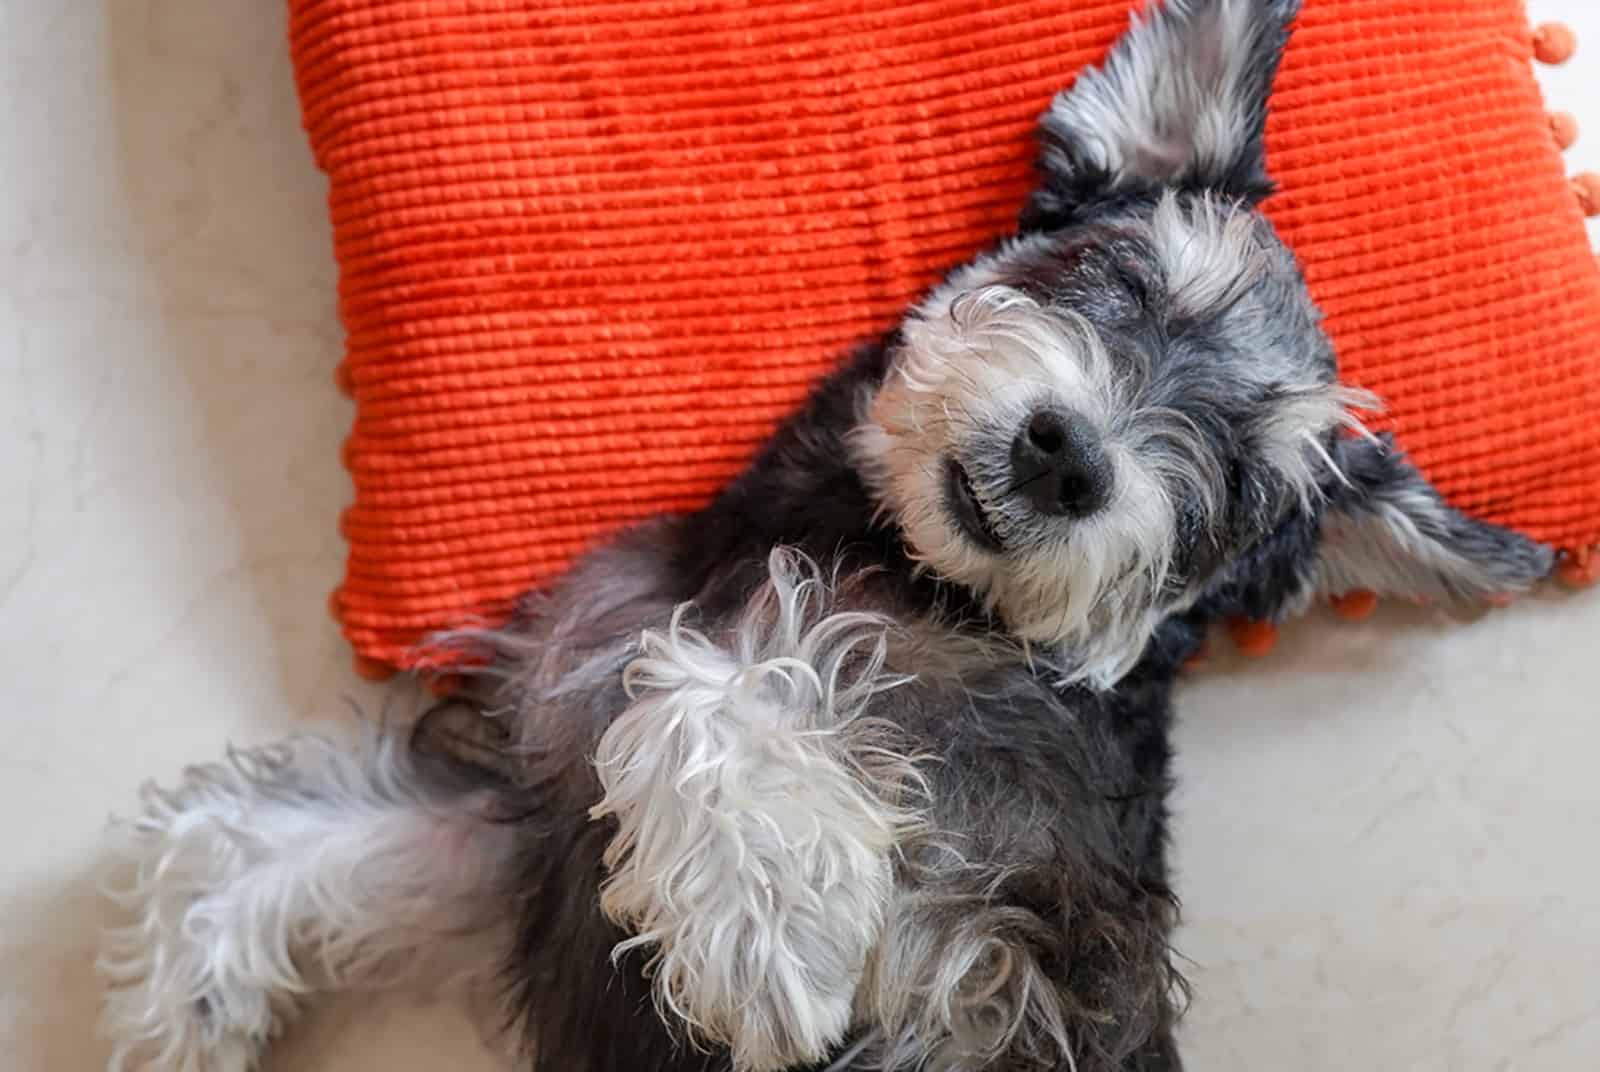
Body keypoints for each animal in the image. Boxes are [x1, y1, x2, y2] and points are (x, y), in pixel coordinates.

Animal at [100, 2, 1548, 1072]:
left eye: (1235, 489)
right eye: (1124, 277)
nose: (1069, 458)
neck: (873, 545)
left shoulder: (980, 940)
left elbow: (718, 680)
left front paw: (761, 930)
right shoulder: (525, 804)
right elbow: (237, 838)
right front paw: (180, 1020)